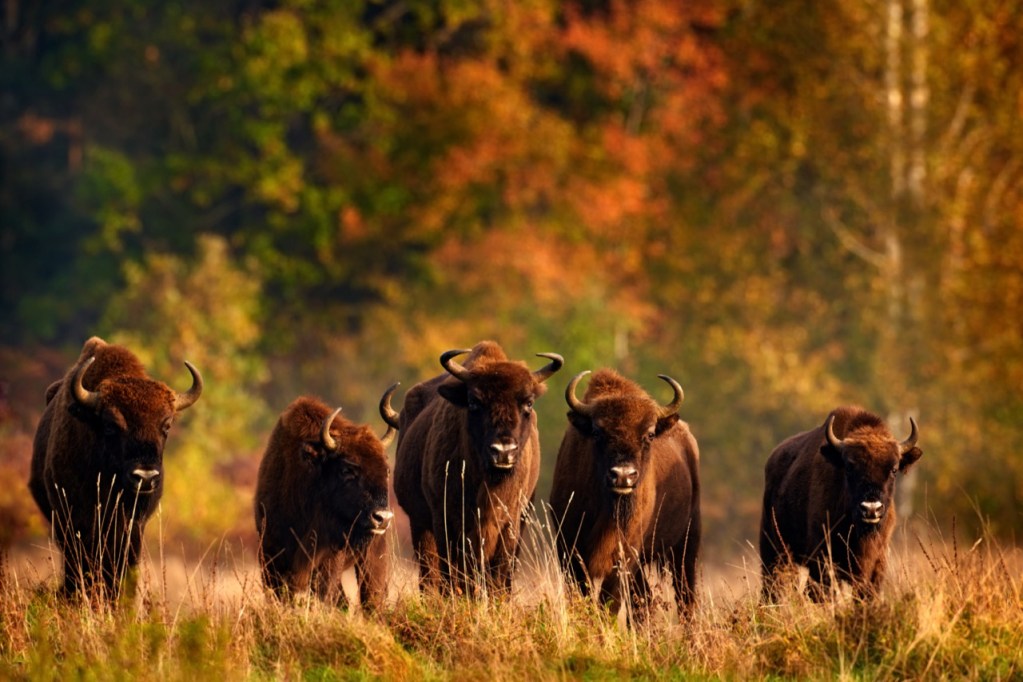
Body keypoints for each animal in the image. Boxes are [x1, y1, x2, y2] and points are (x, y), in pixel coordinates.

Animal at [392, 340, 563, 595]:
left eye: (528, 403)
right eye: (474, 402)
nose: (503, 451)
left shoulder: (510, 522)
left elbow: (498, 574)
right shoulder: (445, 520)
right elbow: (452, 570)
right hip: (420, 522)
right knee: (430, 572)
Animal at [549, 369, 701, 621]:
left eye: (650, 434)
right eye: (597, 432)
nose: (623, 475)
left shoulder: (625, 554)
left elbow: (609, 601)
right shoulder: (568, 548)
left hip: (686, 545)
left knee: (685, 598)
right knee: (645, 600)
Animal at [759, 405, 922, 601]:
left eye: (894, 469)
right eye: (850, 467)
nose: (871, 509)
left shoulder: (877, 563)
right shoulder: (822, 558)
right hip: (774, 551)